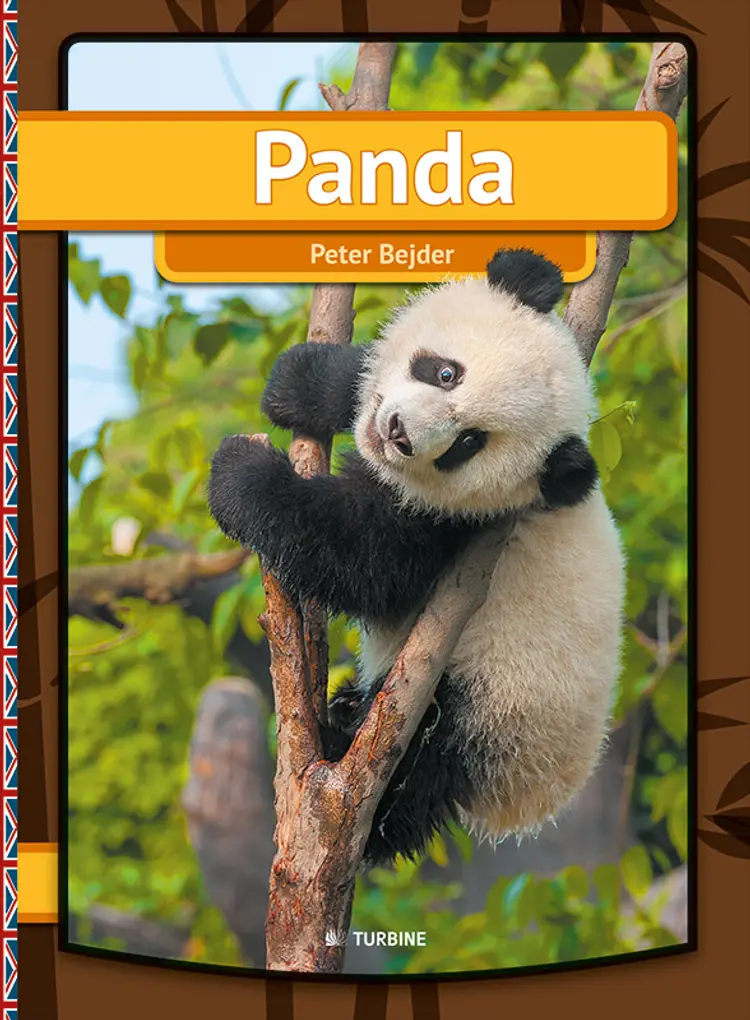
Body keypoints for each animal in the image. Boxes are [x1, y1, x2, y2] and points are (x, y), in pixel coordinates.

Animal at [208, 248, 626, 869]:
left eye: (469, 443)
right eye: (446, 372)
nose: (399, 434)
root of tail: (527, 800)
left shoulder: (456, 528)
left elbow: (361, 557)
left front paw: (240, 472)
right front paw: (305, 380)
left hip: (489, 705)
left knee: (418, 771)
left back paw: (343, 755)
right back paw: (342, 711)